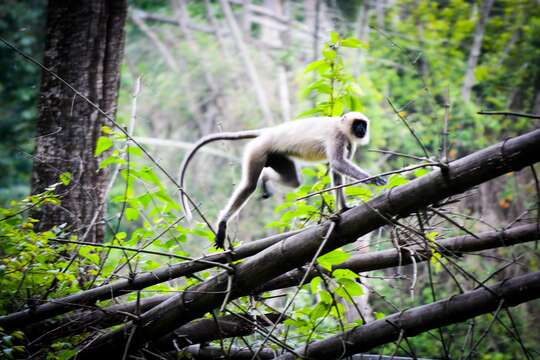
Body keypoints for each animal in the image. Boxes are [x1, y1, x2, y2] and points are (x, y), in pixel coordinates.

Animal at [179, 111, 386, 249]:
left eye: (363, 124)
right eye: (357, 124)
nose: (362, 129)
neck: (341, 127)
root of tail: (269, 132)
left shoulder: (348, 142)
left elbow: (337, 170)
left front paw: (343, 208)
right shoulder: (337, 136)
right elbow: (337, 163)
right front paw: (373, 180)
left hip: (277, 155)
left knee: (293, 180)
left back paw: (265, 181)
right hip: (258, 149)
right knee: (249, 185)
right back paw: (223, 223)